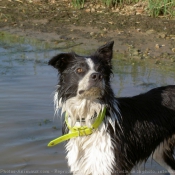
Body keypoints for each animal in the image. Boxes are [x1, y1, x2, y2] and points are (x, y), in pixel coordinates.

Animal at [47, 41, 175, 175]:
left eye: (101, 70)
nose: (97, 76)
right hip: (160, 153)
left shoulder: (111, 165)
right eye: (79, 69)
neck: (88, 121)